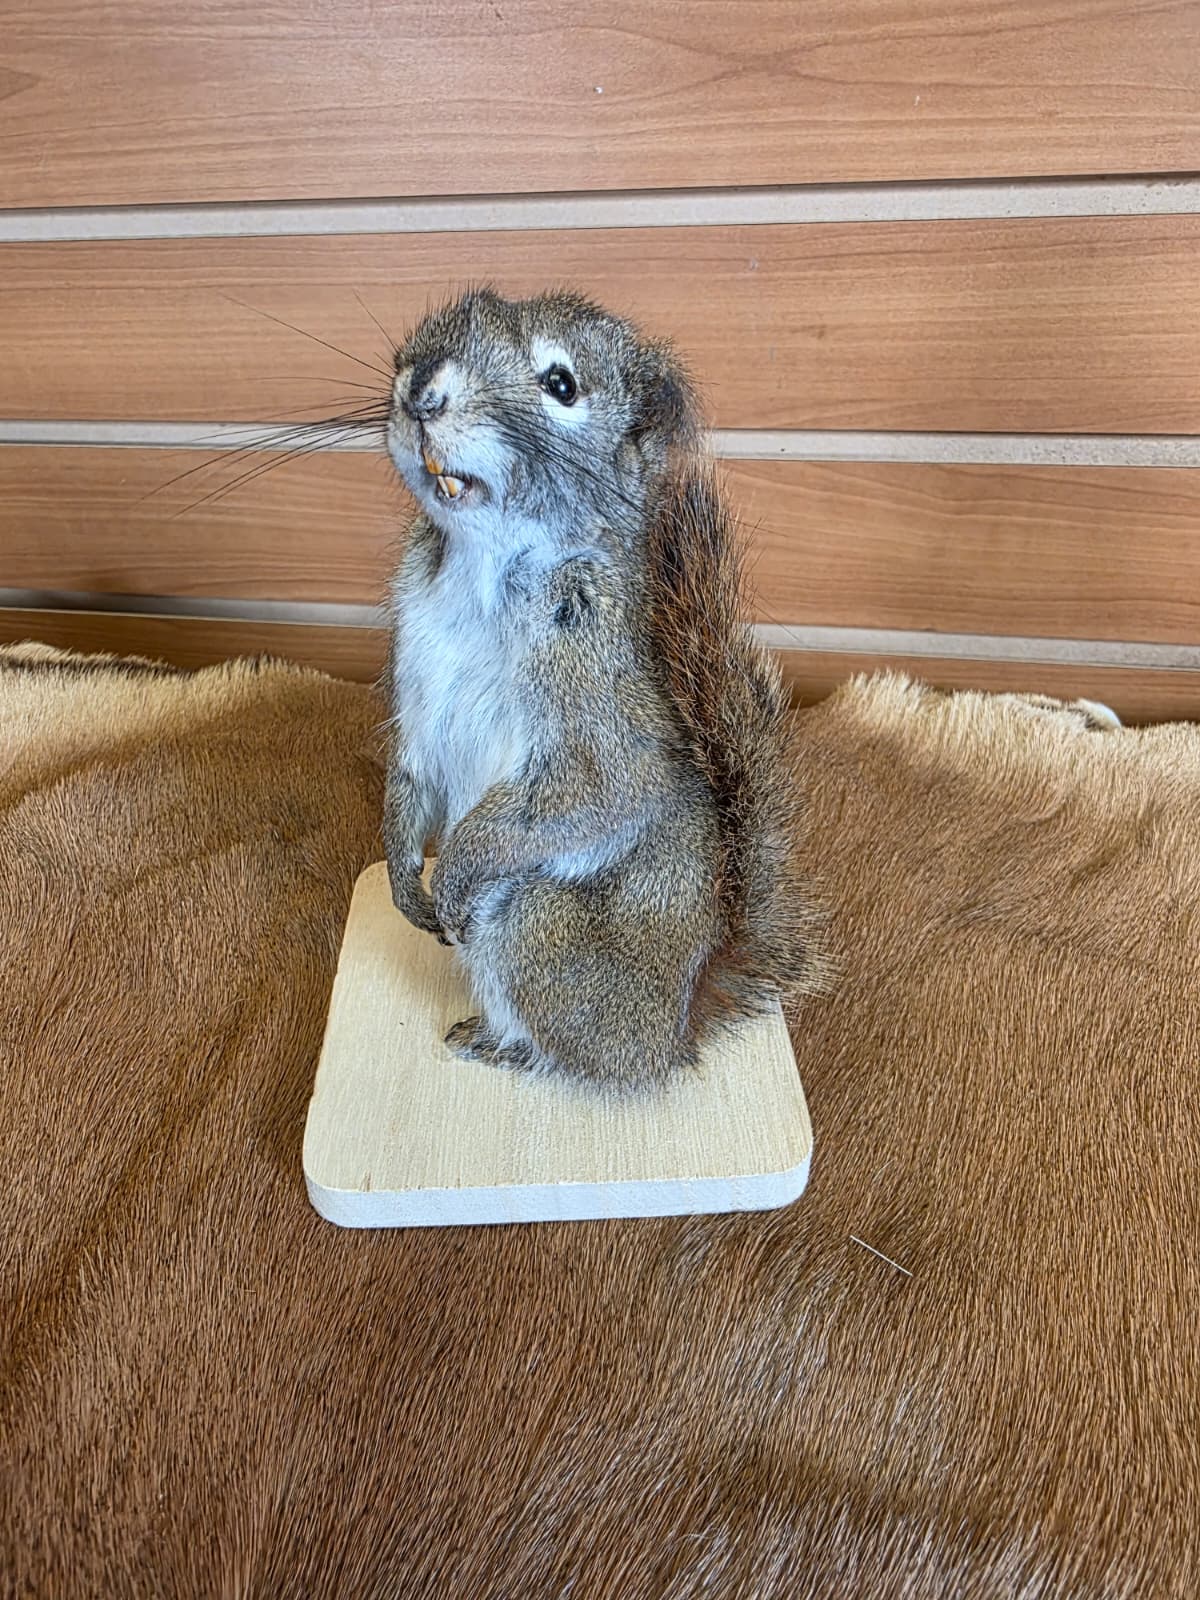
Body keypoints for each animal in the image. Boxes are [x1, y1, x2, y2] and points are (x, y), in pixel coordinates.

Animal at [382, 287, 816, 1092]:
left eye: (562, 385)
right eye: (428, 328)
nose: (420, 390)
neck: (484, 560)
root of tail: (674, 1027)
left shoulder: (596, 677)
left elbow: (598, 790)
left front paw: (449, 875)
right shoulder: (418, 685)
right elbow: (410, 775)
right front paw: (405, 881)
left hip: (538, 929)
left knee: (578, 1058)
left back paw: (507, 1046)